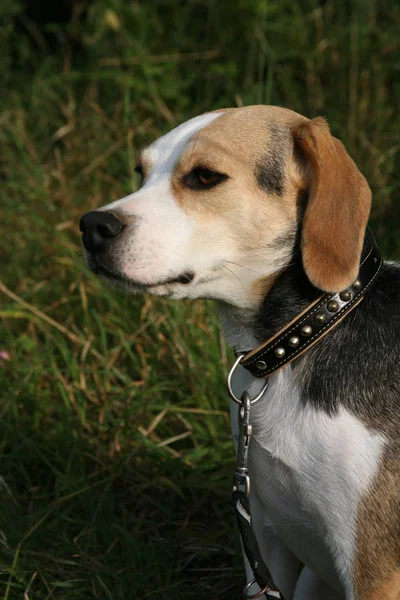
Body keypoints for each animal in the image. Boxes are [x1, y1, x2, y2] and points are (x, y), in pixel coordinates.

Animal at [80, 108, 400, 600]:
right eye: (141, 172)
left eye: (204, 176)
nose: (92, 226)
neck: (302, 338)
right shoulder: (264, 540)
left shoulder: (373, 570)